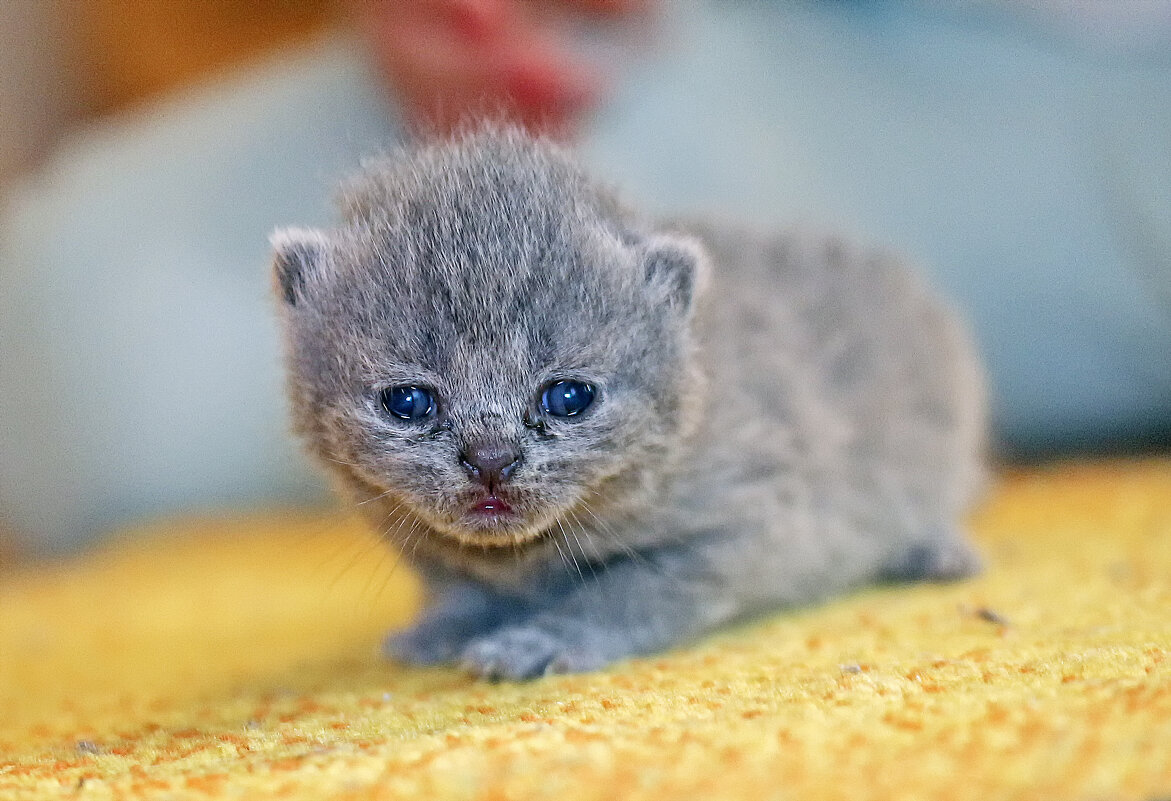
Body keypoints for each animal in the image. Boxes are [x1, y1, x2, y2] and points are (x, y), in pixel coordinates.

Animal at [269, 128, 983, 679]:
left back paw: (936, 552)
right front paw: (445, 629)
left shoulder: (742, 522)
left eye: (568, 397)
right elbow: (462, 590)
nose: (492, 460)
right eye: (409, 401)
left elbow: (621, 595)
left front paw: (541, 641)